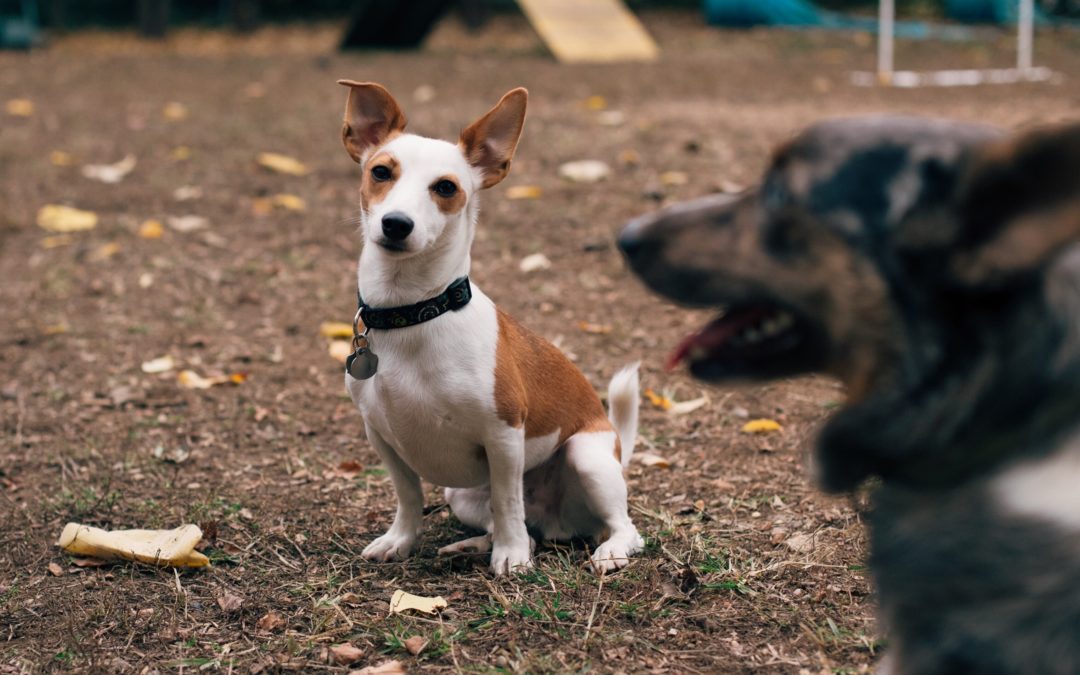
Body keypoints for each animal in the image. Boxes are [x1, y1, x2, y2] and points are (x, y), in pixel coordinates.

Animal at [336, 80, 639, 574]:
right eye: (381, 172)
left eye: (446, 187)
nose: (396, 224)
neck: (415, 311)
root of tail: (556, 522)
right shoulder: (382, 438)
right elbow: (408, 496)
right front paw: (401, 540)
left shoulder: (504, 436)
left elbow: (508, 501)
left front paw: (511, 557)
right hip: (460, 495)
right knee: (520, 526)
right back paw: (473, 545)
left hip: (587, 457)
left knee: (622, 527)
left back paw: (606, 550)